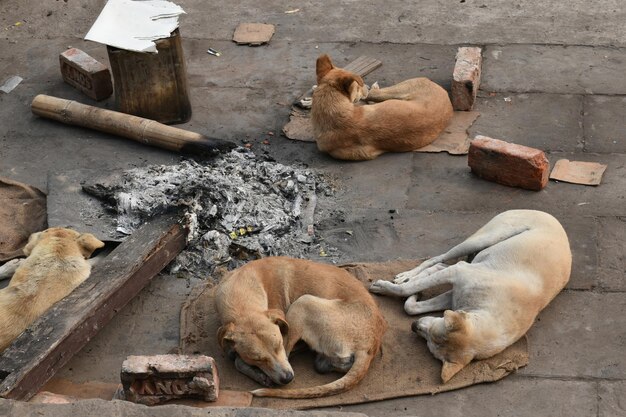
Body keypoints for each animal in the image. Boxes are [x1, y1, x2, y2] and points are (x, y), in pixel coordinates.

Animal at [212, 256, 382, 396]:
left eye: (279, 345)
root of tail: (369, 346)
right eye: (257, 359)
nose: (287, 379)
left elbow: (238, 360)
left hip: (302, 303)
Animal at [370, 210, 572, 382]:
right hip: (482, 239)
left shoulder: (454, 296)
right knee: (437, 259)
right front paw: (386, 287)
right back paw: (406, 275)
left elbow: (411, 307)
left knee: (439, 265)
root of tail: (547, 214)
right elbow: (406, 290)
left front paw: (413, 295)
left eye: (429, 340)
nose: (413, 327)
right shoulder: (458, 273)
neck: (489, 313)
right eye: (431, 334)